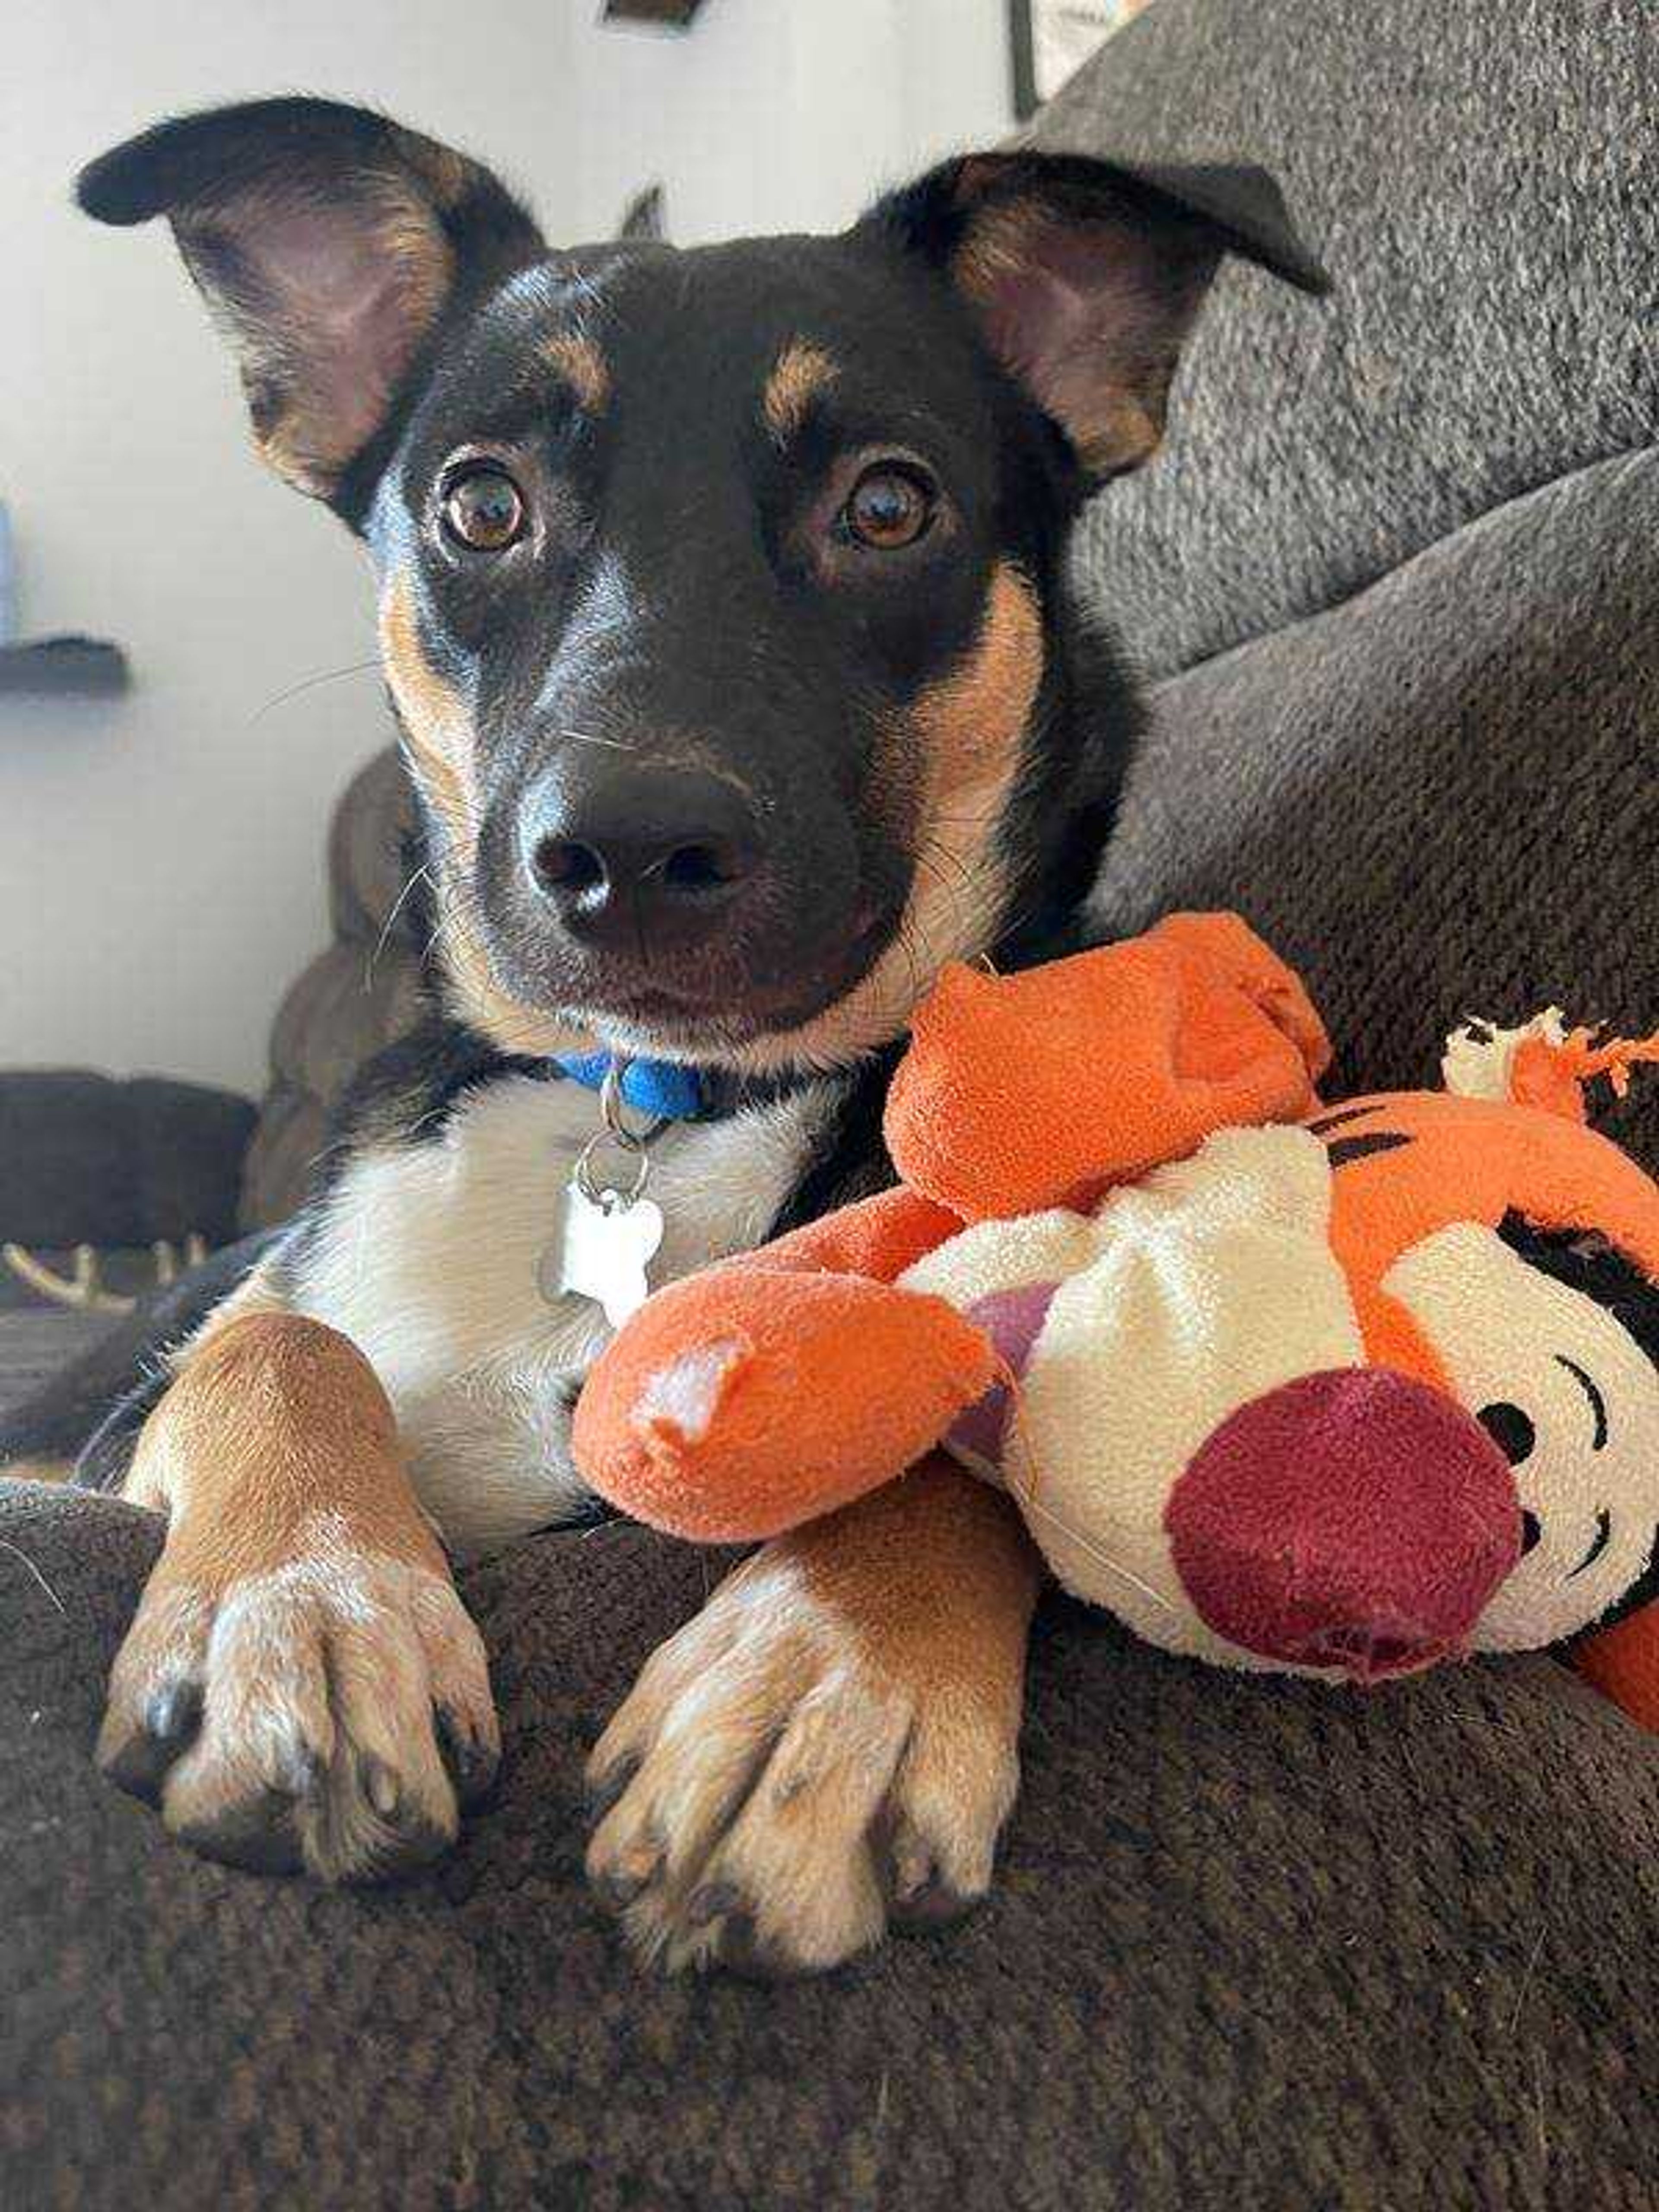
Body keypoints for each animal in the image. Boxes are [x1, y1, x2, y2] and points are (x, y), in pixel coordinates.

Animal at [0, 99, 1327, 1973]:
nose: (628, 853)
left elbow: (958, 1389)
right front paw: (305, 1610)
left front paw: (825, 1679)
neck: (654, 1107)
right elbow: (280, 1347)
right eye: (481, 503)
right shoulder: (145, 1429)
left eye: (889, 504)